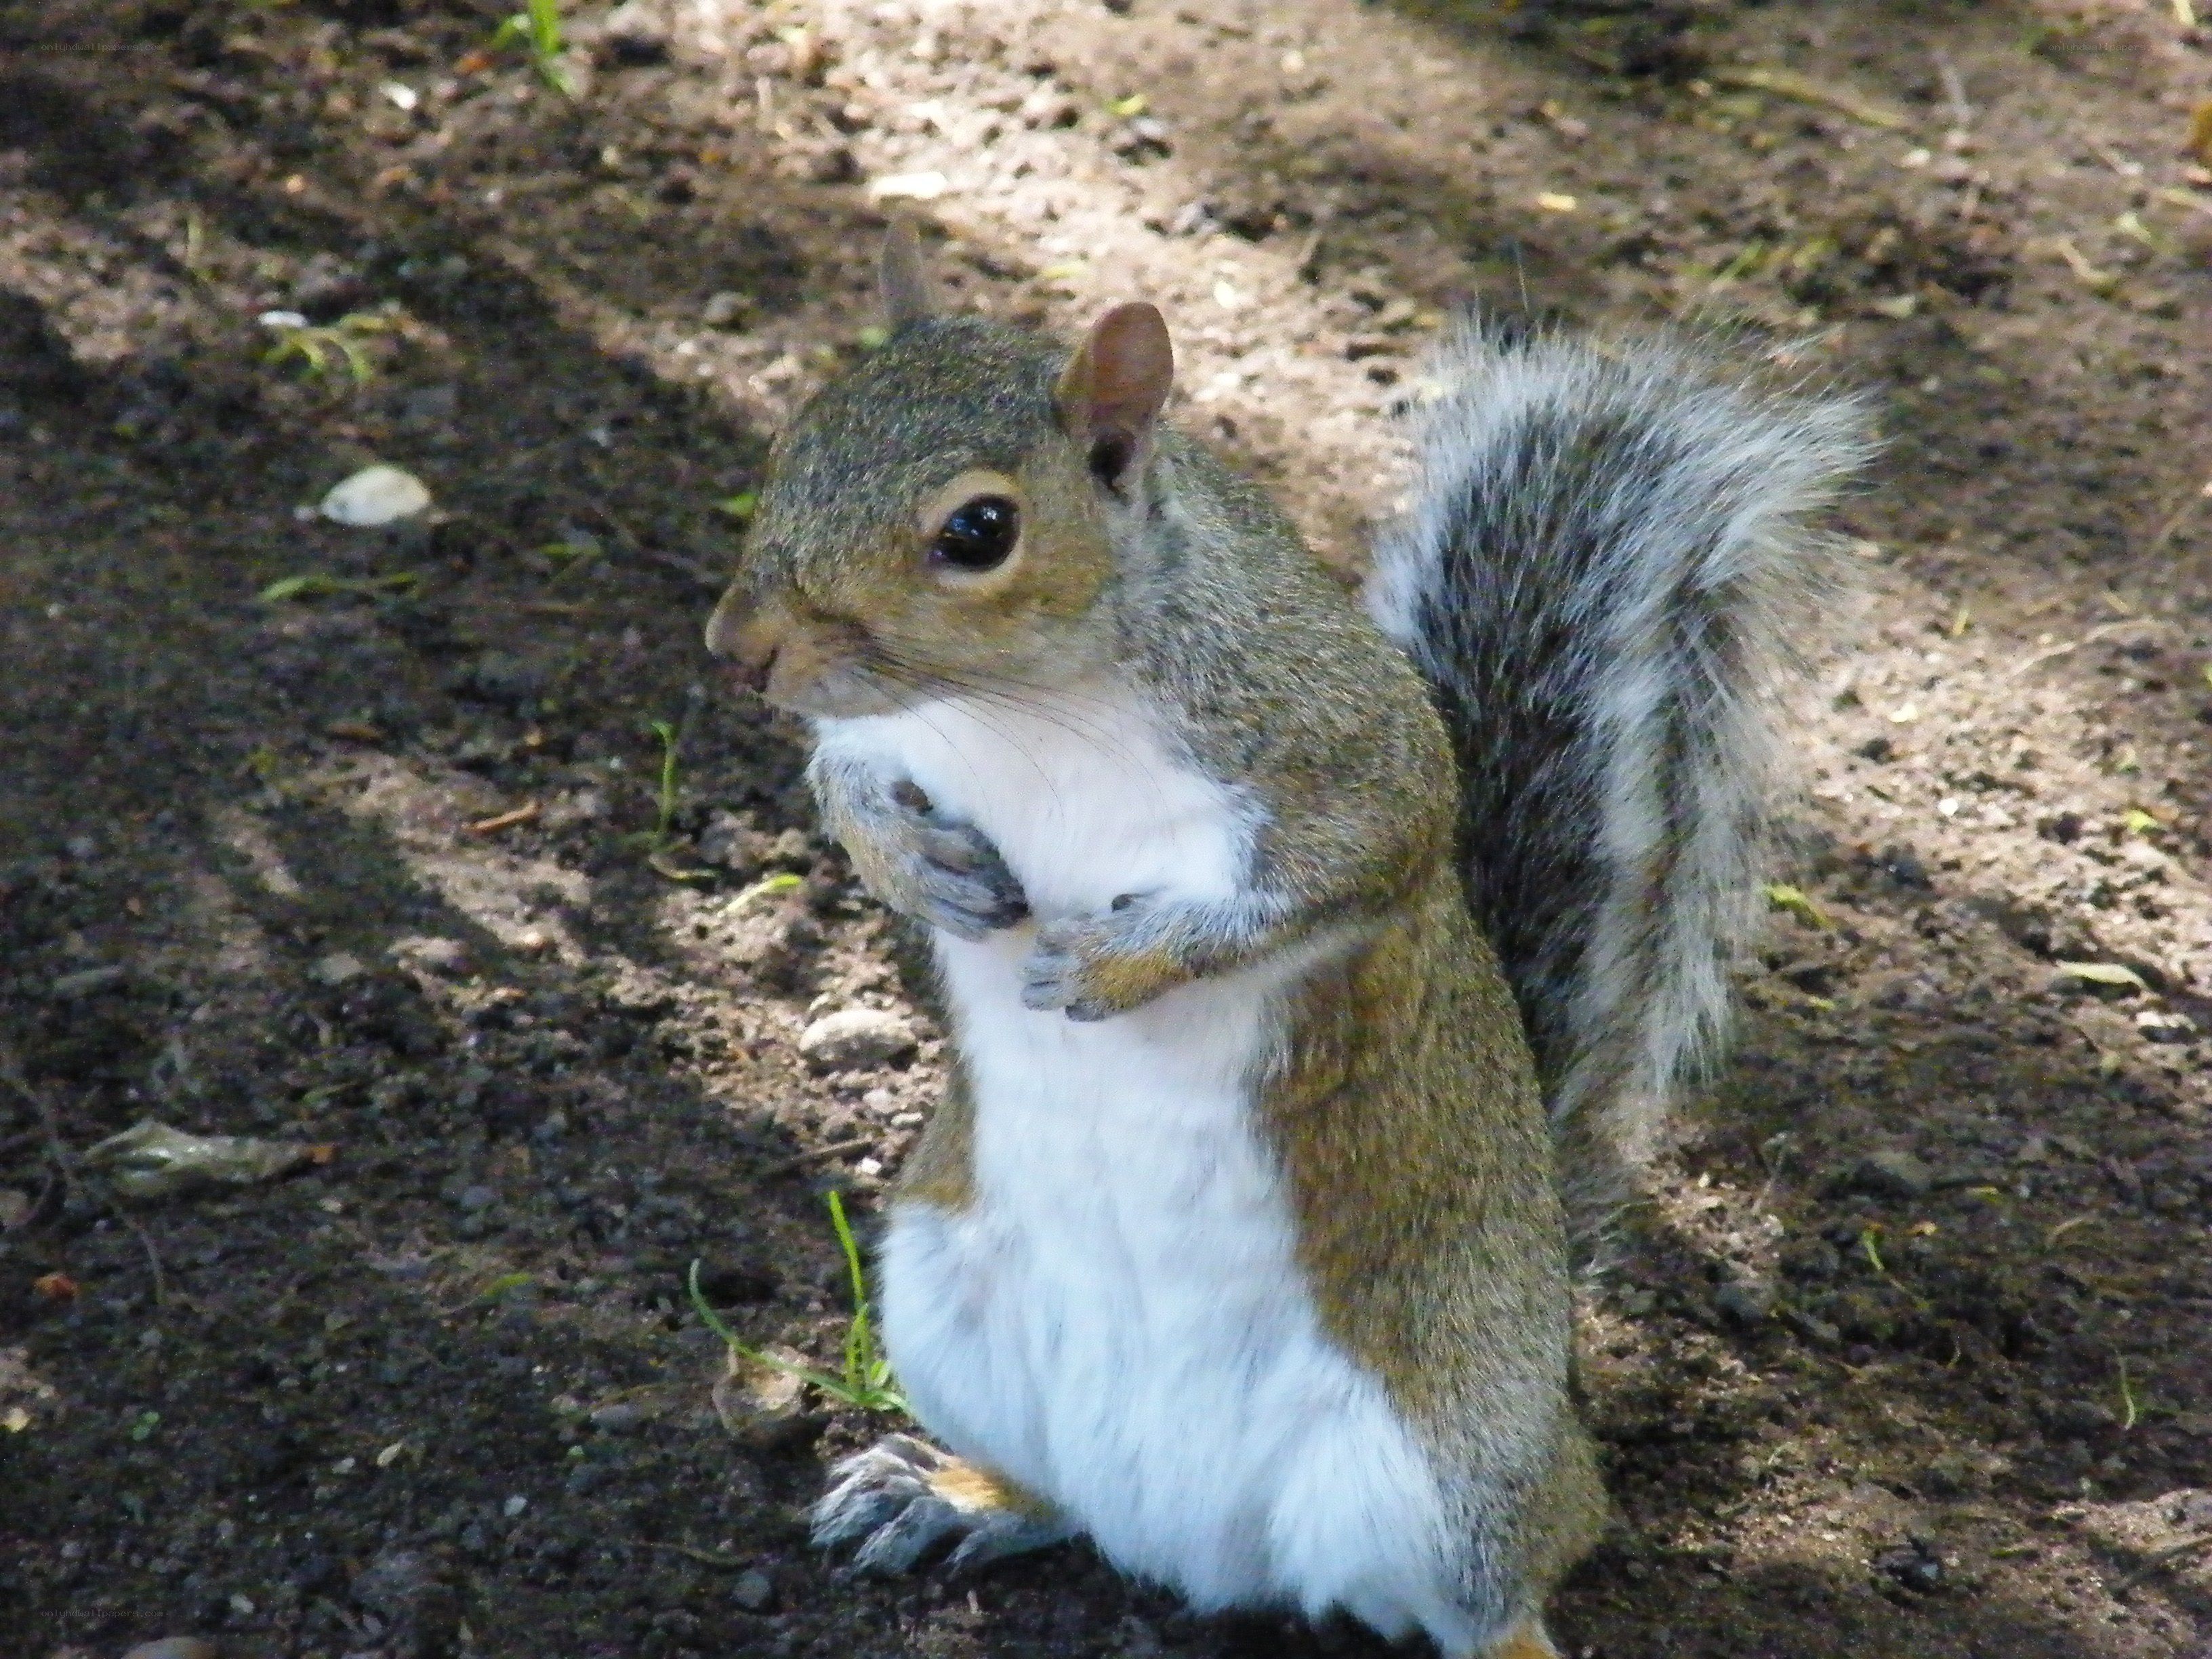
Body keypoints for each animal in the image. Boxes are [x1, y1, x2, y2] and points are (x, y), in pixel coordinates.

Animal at [704, 222, 1869, 1657]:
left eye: (979, 529)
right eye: (793, 439)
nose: (737, 649)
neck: (1026, 708)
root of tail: (1192, 1543)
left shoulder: (1347, 752)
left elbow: (1337, 867)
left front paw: (1123, 957)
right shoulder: (896, 739)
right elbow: (846, 773)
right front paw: (912, 865)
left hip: (1457, 1472)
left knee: (1504, 1588)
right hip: (940, 1301)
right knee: (1055, 1493)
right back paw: (952, 1494)